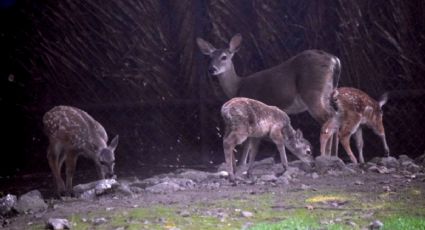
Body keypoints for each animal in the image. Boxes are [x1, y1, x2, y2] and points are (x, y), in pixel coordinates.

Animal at [196, 32, 342, 165]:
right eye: (210, 57)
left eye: (224, 57)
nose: (211, 69)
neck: (238, 86)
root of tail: (334, 60)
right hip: (328, 93)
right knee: (335, 116)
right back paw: (335, 157)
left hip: (312, 93)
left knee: (328, 118)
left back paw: (325, 156)